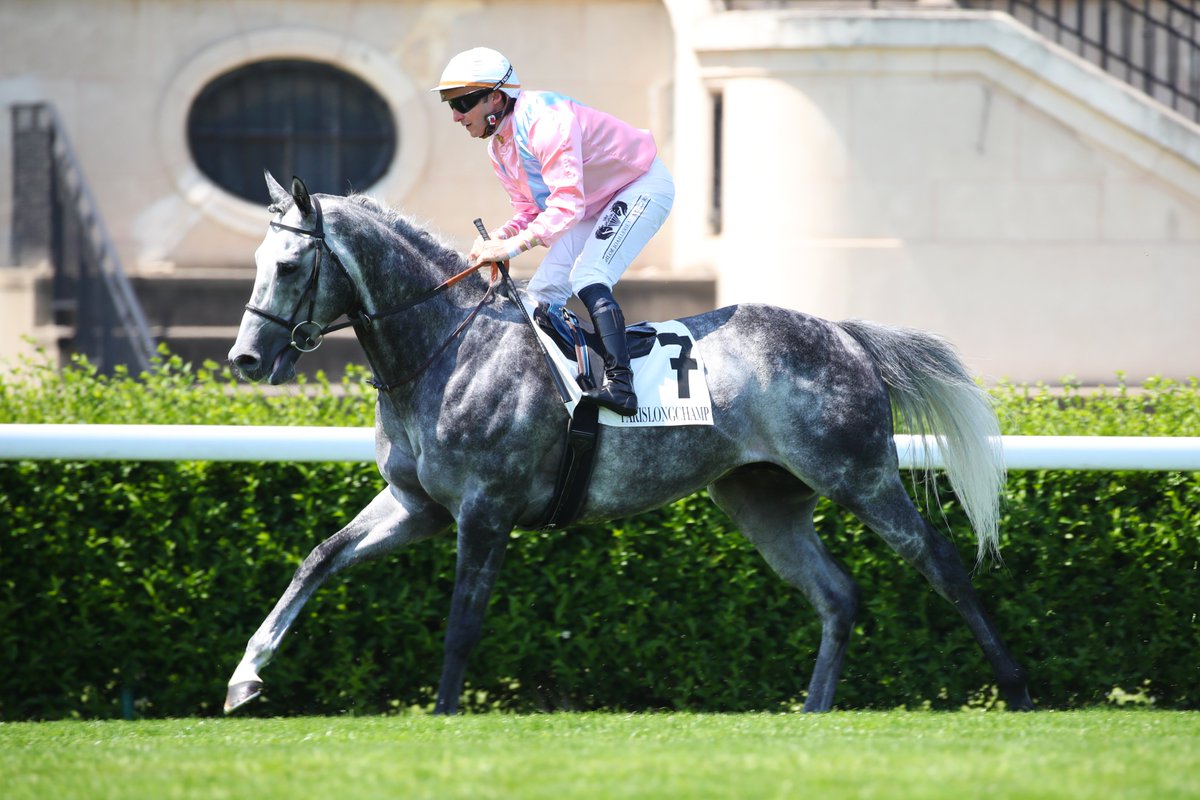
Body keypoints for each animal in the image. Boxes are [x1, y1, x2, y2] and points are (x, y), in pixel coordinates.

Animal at [223, 173, 1032, 714]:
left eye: (289, 266)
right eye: (255, 264)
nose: (246, 359)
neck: (447, 348)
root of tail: (845, 334)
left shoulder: (485, 510)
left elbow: (461, 623)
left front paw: (446, 715)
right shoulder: (415, 505)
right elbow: (320, 558)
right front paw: (245, 676)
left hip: (858, 475)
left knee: (940, 561)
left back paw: (1018, 689)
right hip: (761, 498)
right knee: (837, 593)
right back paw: (812, 710)